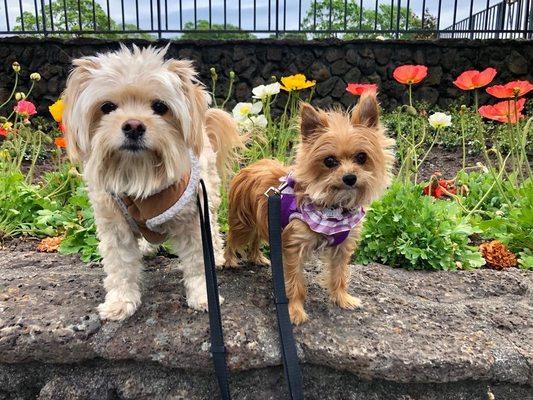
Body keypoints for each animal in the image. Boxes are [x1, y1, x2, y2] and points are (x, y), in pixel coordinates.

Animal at [60, 46, 241, 322]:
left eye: (160, 106)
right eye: (107, 107)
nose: (133, 125)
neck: (140, 175)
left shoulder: (193, 220)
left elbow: (199, 261)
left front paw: (203, 296)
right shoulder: (114, 225)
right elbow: (120, 266)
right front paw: (120, 302)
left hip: (208, 192)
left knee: (213, 227)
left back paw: (218, 255)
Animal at [222, 92, 392, 324]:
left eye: (361, 157)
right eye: (329, 161)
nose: (350, 177)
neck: (333, 207)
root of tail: (252, 165)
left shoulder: (342, 247)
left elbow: (339, 274)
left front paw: (342, 298)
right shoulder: (295, 247)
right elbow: (295, 282)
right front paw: (294, 311)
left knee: (256, 239)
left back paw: (257, 257)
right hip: (242, 222)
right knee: (232, 239)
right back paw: (229, 261)